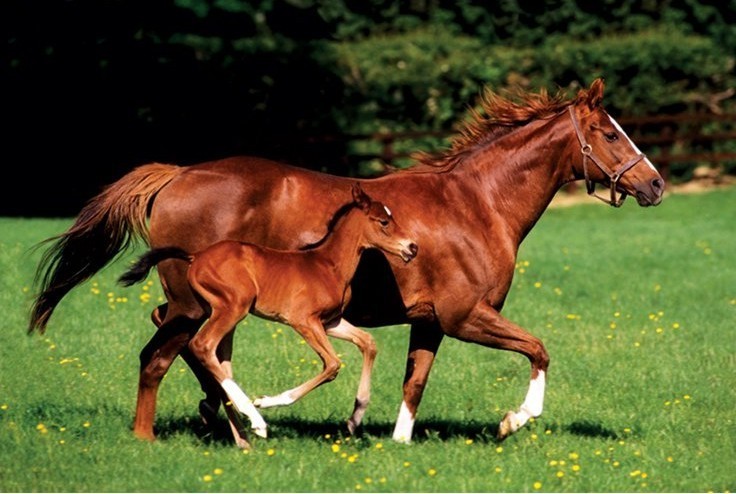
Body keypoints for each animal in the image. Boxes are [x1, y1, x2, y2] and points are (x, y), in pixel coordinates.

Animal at [117, 183, 418, 446]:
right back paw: (256, 420)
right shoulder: (303, 320)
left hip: (206, 307)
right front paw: (266, 401)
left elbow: (368, 343)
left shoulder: (330, 322)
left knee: (177, 329)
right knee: (203, 344)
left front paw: (355, 418)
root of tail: (195, 256)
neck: (328, 265)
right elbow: (332, 365)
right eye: (383, 221)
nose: (412, 247)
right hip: (233, 306)